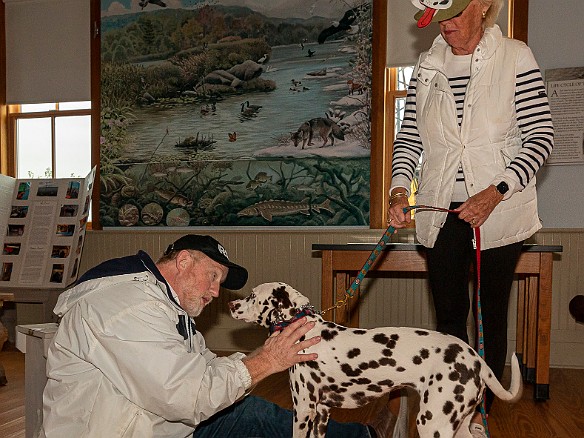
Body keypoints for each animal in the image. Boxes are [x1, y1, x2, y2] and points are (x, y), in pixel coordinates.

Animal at [227, 282, 520, 436]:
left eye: (252, 296)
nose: (231, 304)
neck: (305, 330)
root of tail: (475, 358)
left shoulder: (303, 409)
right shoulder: (322, 411)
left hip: (432, 423)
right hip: (456, 424)